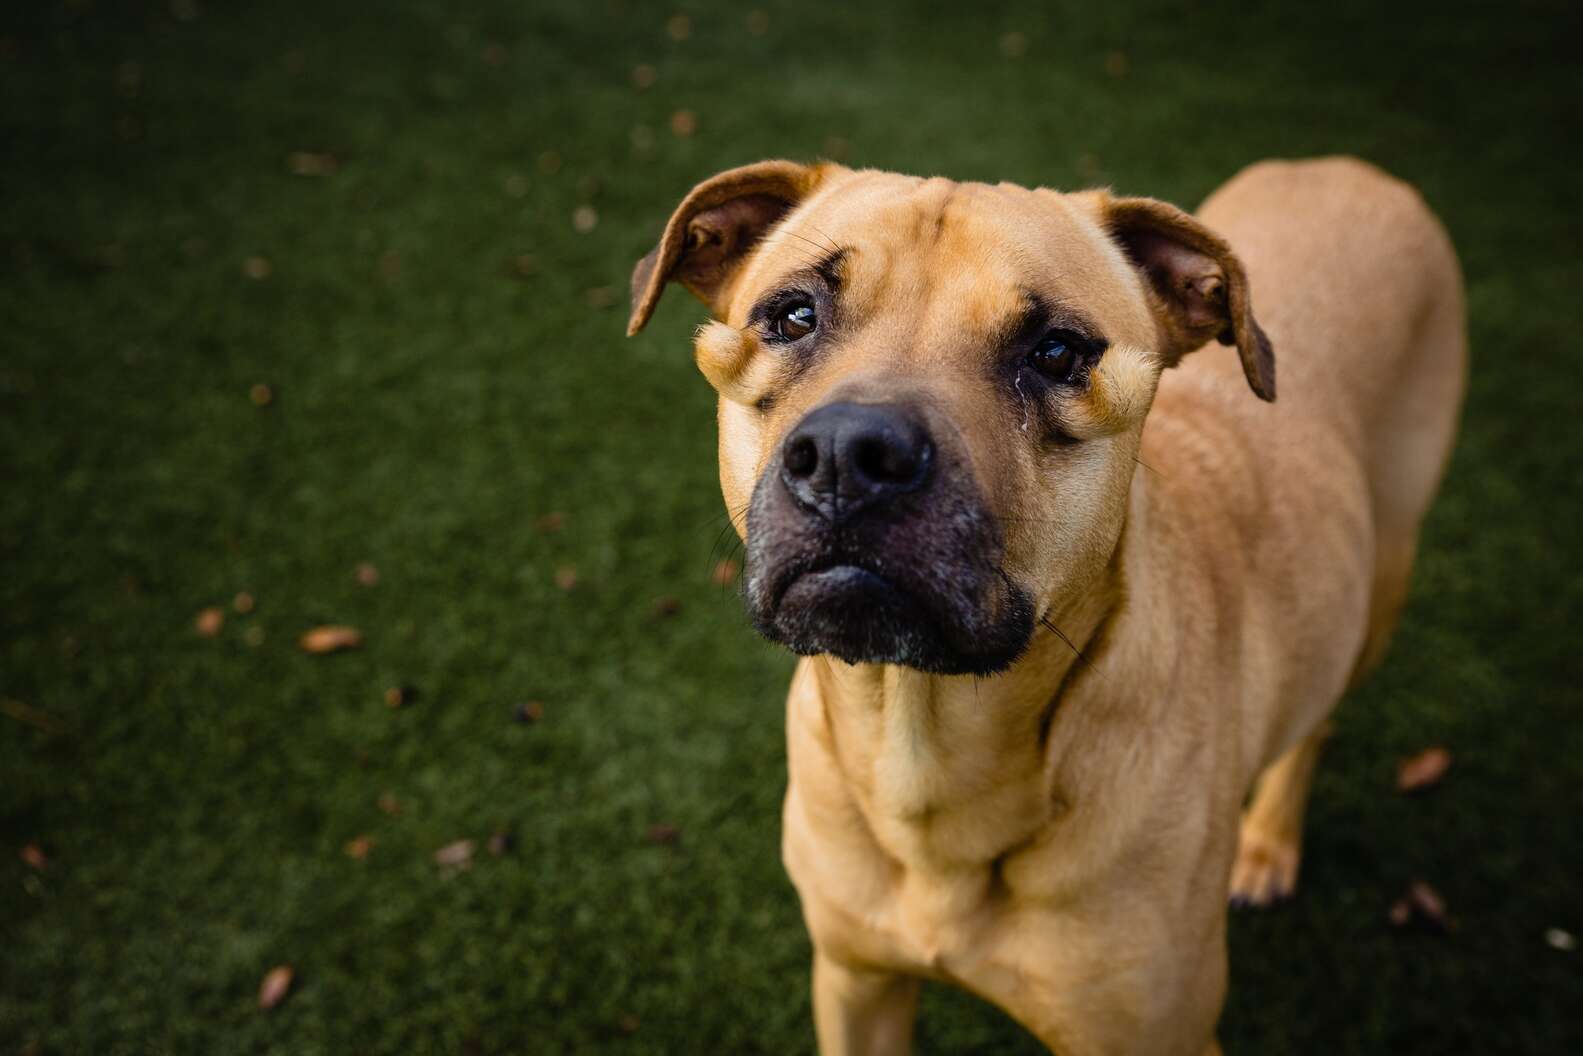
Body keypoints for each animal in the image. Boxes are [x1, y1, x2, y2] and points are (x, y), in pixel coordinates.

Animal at [623, 156, 1462, 1056]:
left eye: (1056, 351)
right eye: (794, 315)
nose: (850, 454)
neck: (921, 748)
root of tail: (1344, 165)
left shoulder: (1156, 1032)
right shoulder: (854, 982)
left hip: (1384, 570)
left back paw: (1268, 841)